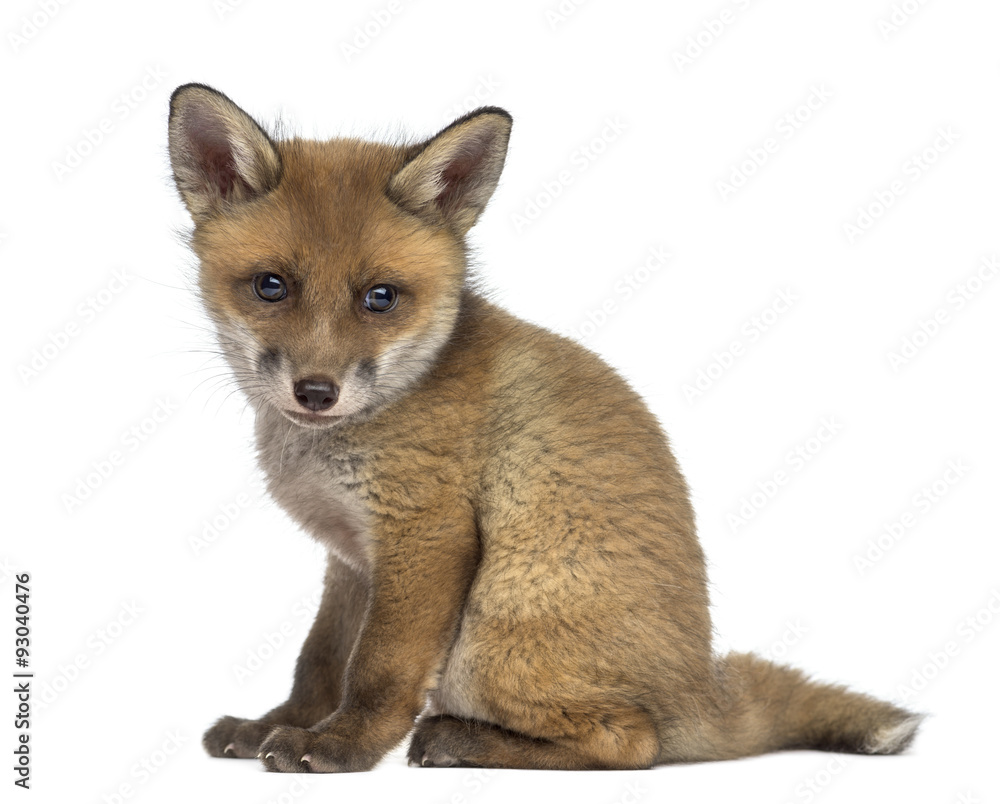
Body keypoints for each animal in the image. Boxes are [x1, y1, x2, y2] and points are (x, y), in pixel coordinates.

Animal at [167, 83, 923, 773]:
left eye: (379, 298)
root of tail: (702, 692)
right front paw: (280, 723)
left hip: (495, 628)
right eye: (271, 286)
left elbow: (378, 669)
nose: (317, 392)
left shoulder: (426, 535)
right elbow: (320, 659)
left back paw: (461, 740)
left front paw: (340, 745)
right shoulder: (352, 558)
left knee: (633, 744)